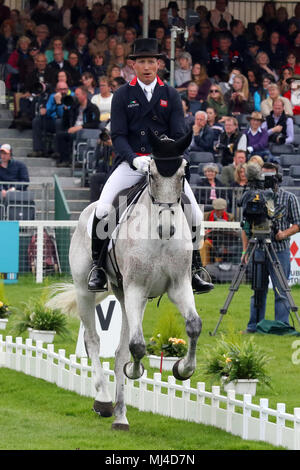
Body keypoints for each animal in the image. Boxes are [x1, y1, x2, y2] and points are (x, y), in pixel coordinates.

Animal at [50, 131, 203, 430]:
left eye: (183, 174)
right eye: (151, 174)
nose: (166, 228)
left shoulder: (178, 287)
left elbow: (193, 326)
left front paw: (182, 369)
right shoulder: (136, 289)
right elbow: (138, 345)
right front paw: (135, 370)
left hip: (124, 296)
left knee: (120, 349)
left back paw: (121, 416)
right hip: (87, 291)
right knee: (93, 340)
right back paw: (104, 401)